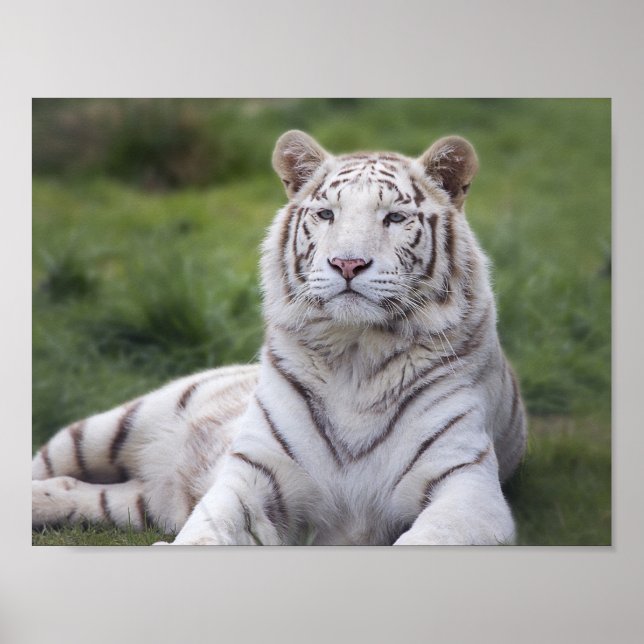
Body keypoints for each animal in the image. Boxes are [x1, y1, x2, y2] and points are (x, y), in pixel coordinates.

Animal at [32, 130, 527, 545]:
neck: (357, 356)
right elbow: (207, 529)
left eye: (395, 217)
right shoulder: (254, 474)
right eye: (326, 214)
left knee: (84, 491)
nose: (347, 264)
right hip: (112, 425)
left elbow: (428, 538)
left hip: (140, 499)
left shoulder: (466, 487)